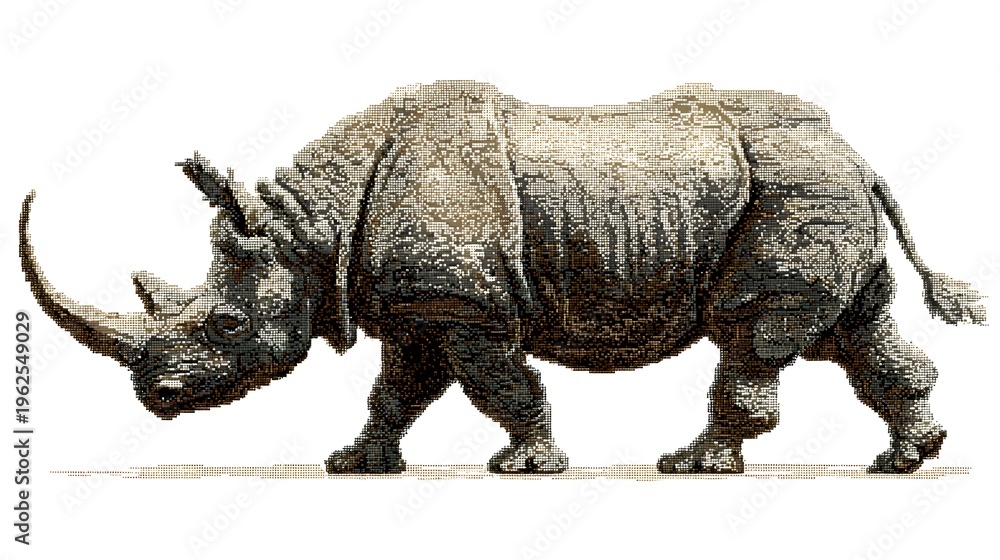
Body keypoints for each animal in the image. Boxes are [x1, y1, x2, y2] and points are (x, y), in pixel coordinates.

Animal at [21, 81, 985, 475]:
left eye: (223, 327)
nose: (156, 399)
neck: (310, 231)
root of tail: (862, 161)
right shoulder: (414, 306)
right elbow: (397, 390)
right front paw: (354, 466)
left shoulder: (463, 304)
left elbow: (495, 384)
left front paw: (524, 468)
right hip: (815, 187)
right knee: (859, 332)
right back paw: (904, 462)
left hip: (795, 189)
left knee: (759, 333)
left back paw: (696, 466)